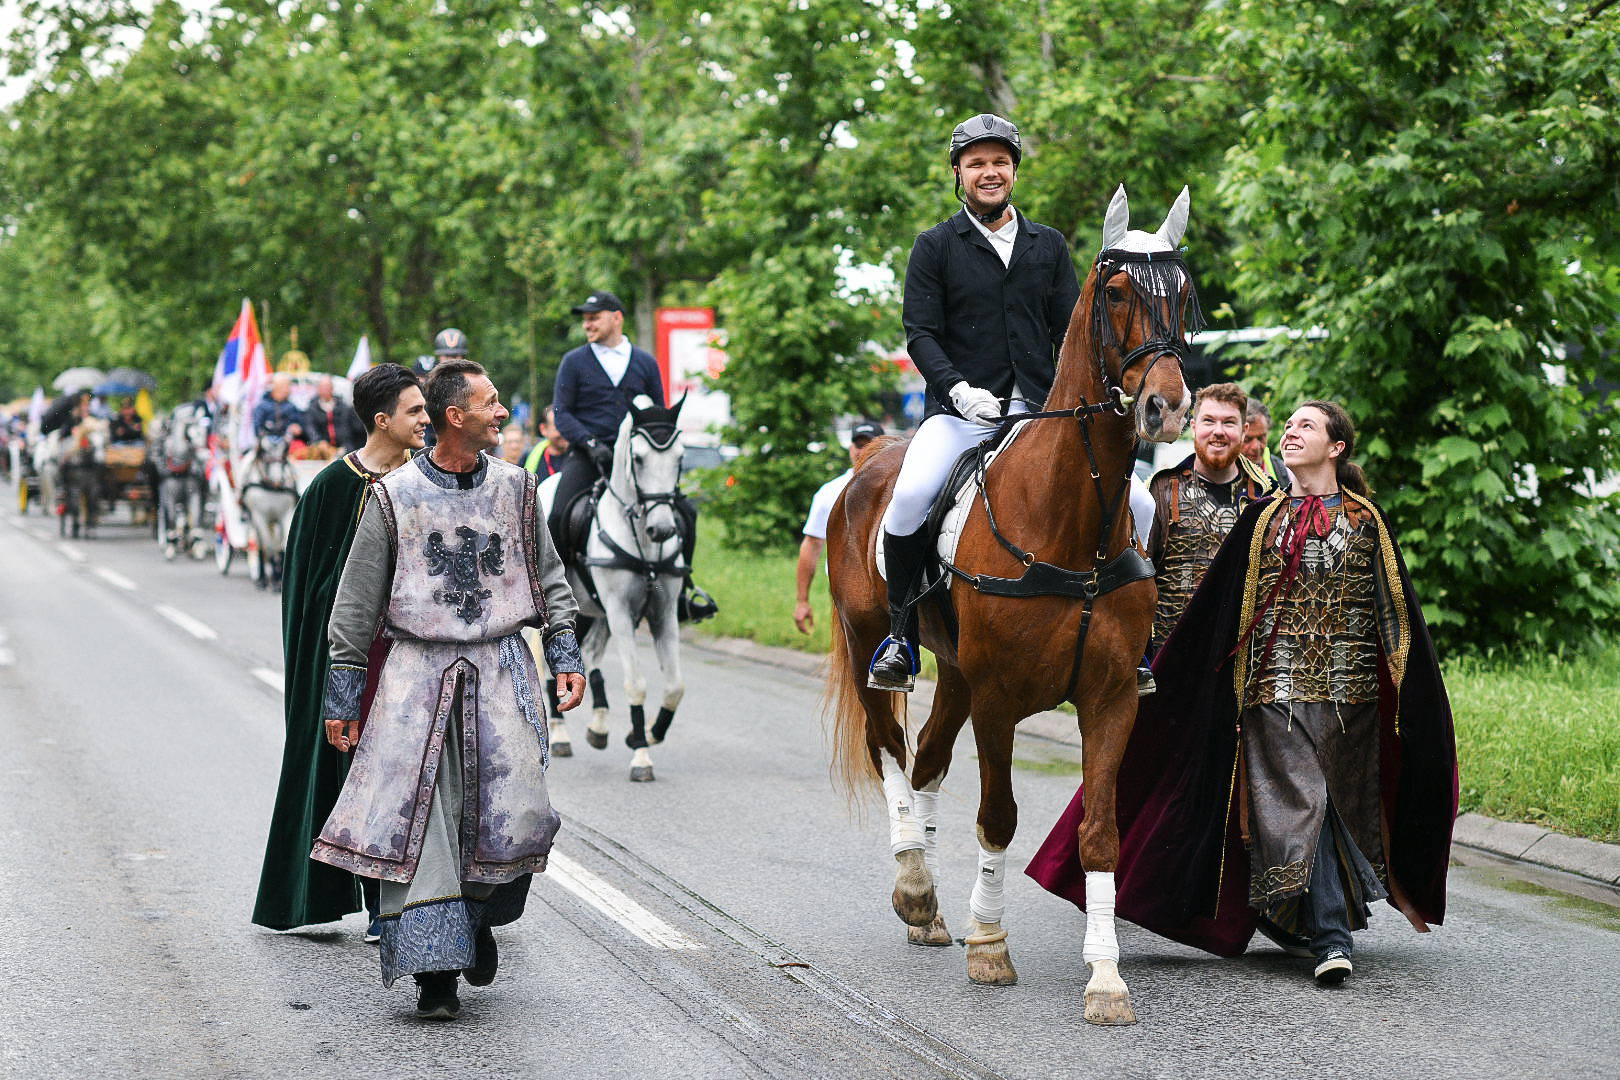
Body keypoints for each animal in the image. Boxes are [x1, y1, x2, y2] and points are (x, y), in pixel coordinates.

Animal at [238, 433, 299, 592]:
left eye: (285, 449)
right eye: (263, 450)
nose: (278, 481)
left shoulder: (287, 514)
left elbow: (282, 545)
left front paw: (279, 580)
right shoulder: (259, 516)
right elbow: (268, 546)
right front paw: (272, 580)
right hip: (254, 519)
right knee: (261, 545)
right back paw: (262, 579)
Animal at [541, 393, 686, 780]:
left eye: (680, 458)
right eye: (638, 458)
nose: (662, 529)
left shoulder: (664, 614)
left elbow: (674, 687)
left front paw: (649, 732)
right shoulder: (620, 613)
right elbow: (636, 684)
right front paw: (641, 755)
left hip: (594, 613)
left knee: (589, 656)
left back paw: (599, 725)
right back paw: (560, 733)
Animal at [829, 186, 1198, 1023]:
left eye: (1183, 293)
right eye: (1117, 292)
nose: (1165, 409)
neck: (1071, 521)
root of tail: (869, 465)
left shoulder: (1109, 699)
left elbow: (1101, 833)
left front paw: (1106, 978)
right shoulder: (999, 700)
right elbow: (998, 815)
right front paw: (992, 947)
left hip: (959, 674)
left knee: (928, 759)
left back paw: (930, 908)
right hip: (875, 644)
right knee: (889, 748)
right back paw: (913, 881)